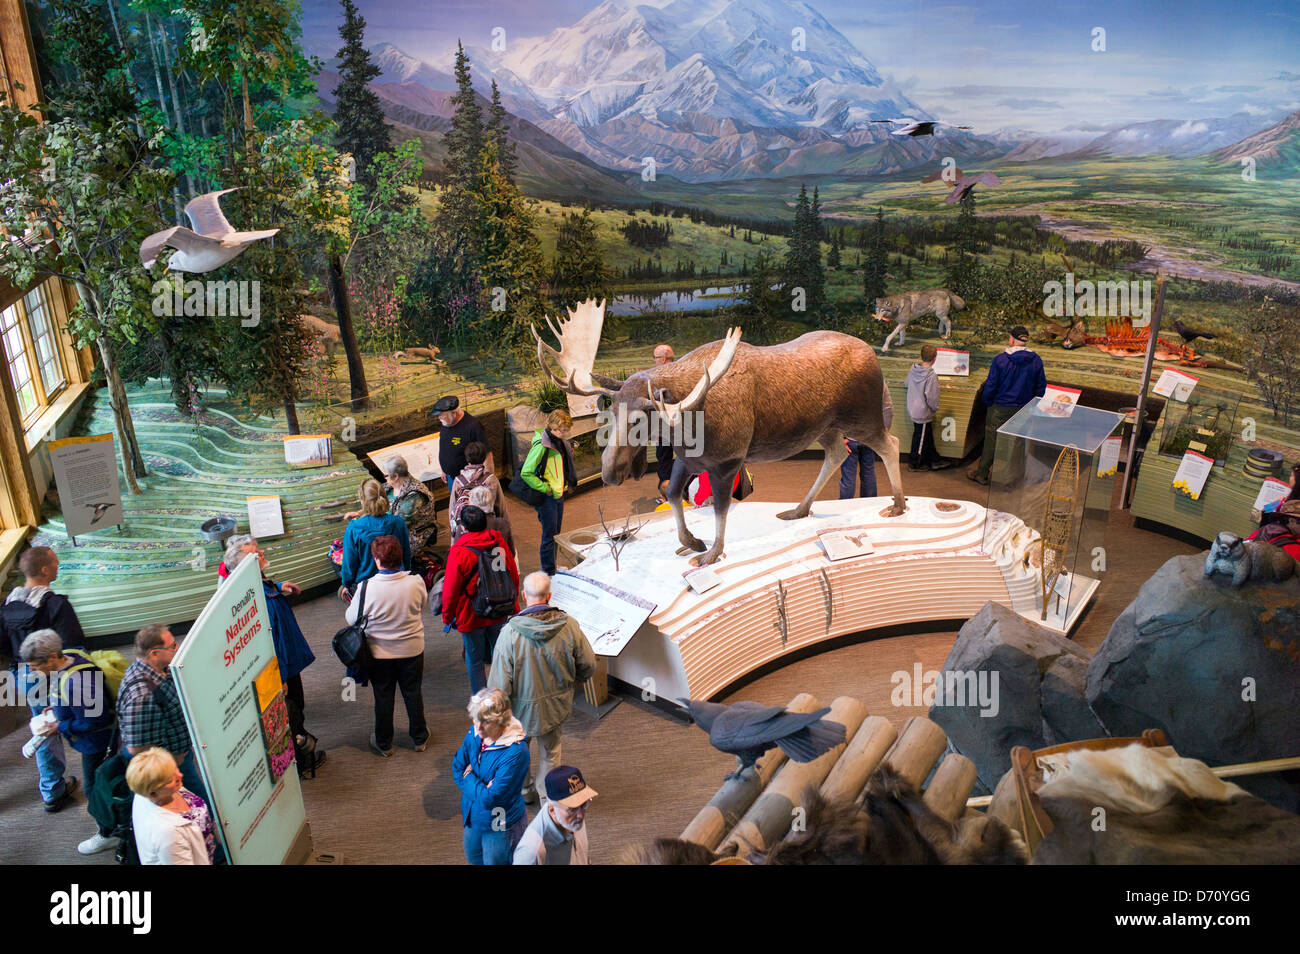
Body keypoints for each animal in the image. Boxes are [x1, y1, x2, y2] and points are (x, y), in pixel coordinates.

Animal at [527, 298, 904, 566]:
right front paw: (691, 541)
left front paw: (711, 553)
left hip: (861, 417)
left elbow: (721, 507)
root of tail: (873, 355)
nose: (609, 472)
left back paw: (898, 505)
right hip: (824, 427)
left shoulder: (728, 460)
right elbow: (673, 492)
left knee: (891, 443)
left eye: (641, 418)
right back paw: (799, 509)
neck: (688, 423)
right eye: (612, 410)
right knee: (838, 452)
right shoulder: (689, 459)